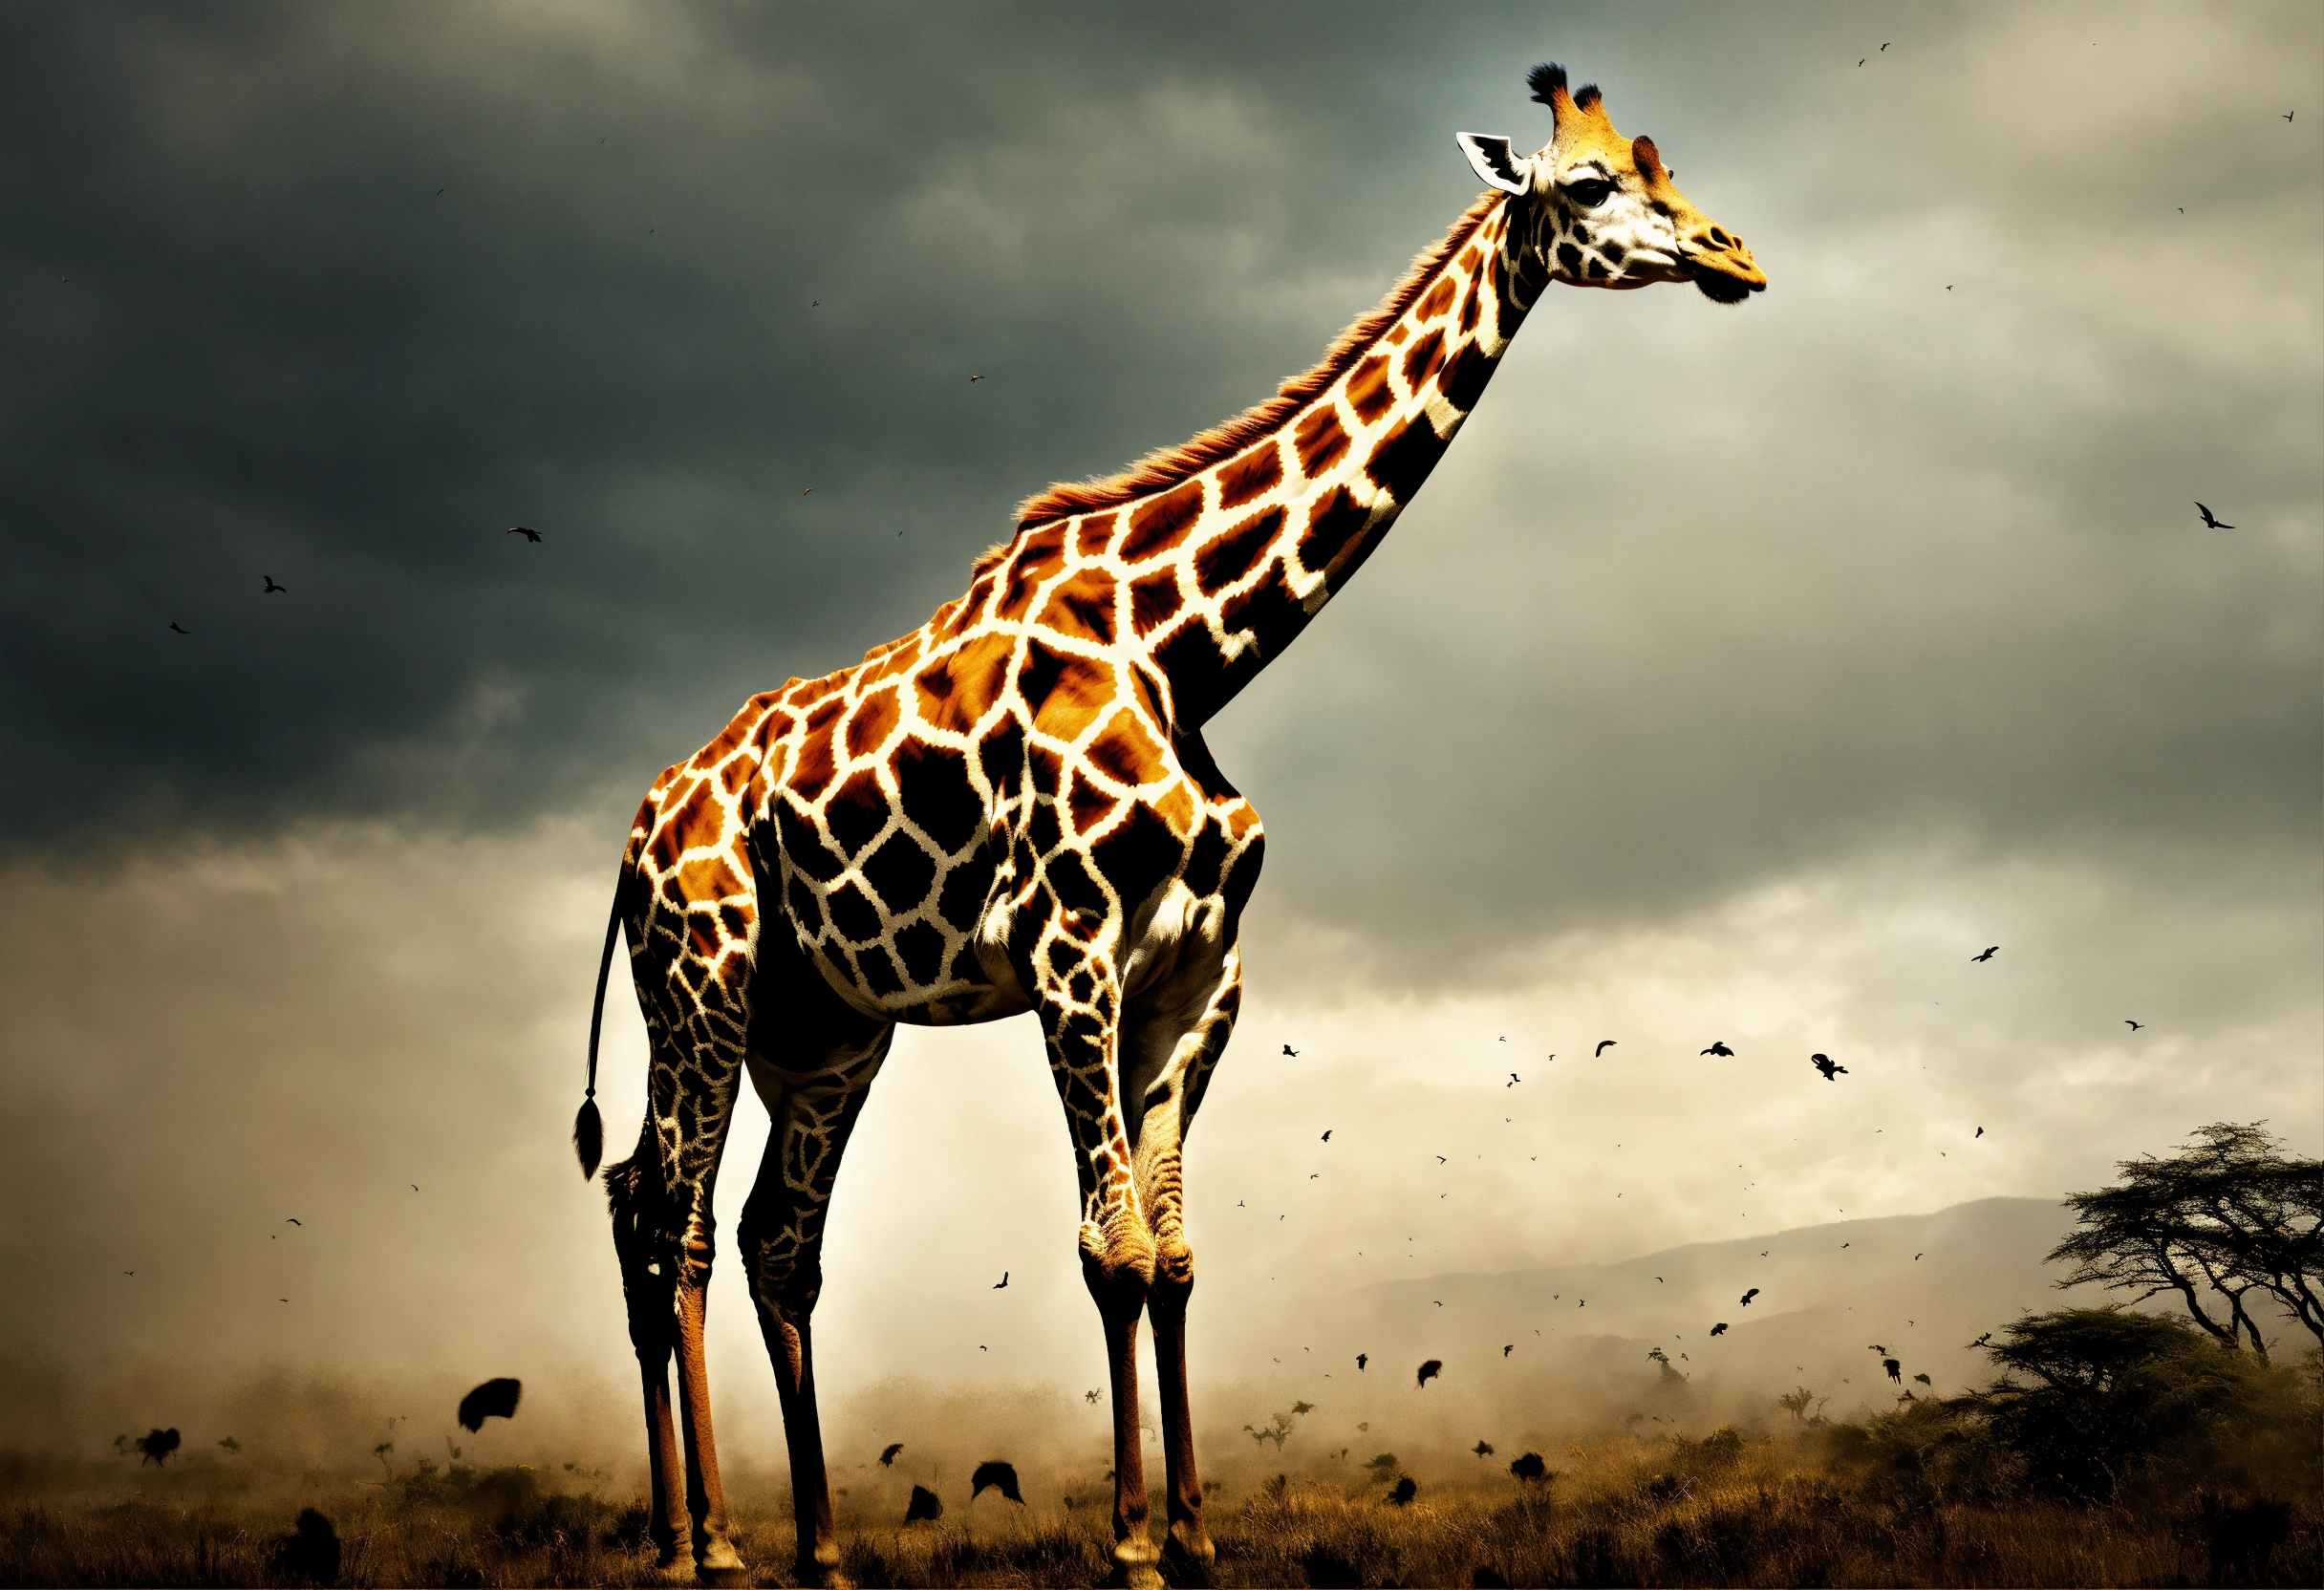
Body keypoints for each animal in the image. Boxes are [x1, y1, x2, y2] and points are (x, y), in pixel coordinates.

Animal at [572, 62, 1761, 1589]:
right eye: (1594, 182)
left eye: (1666, 161)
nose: (1737, 258)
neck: (1184, 649)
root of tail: (633, 837)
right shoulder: (1066, 951)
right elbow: (1111, 1249)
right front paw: (1133, 1541)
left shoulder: (1197, 972)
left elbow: (1180, 1257)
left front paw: (1195, 1533)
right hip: (702, 985)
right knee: (665, 1225)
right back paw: (704, 1544)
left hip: (825, 1028)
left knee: (768, 1238)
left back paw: (816, 1547)